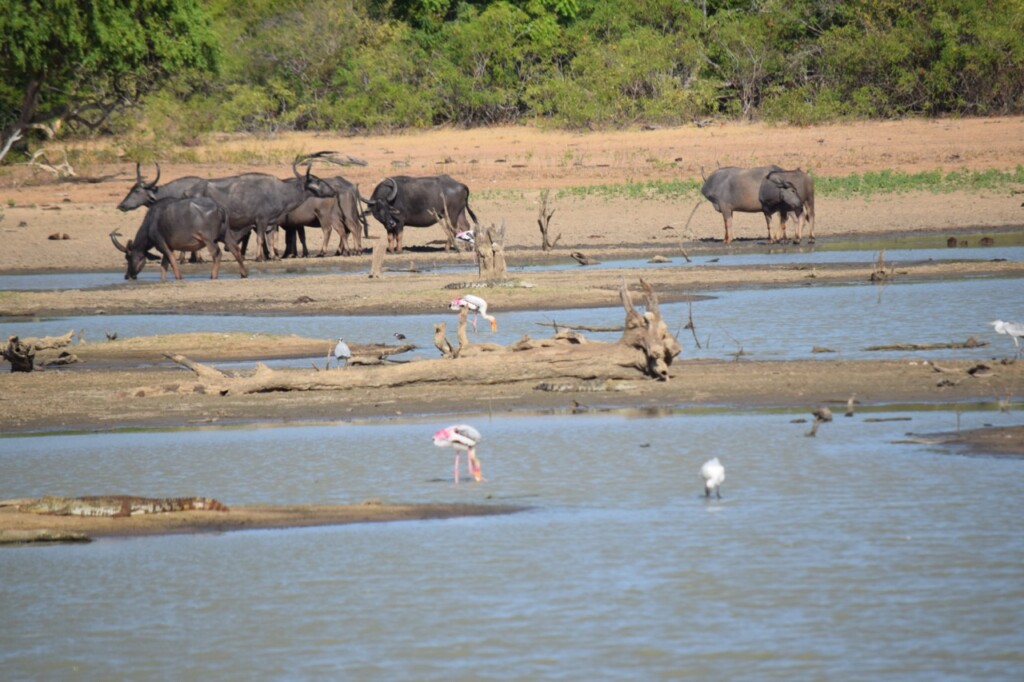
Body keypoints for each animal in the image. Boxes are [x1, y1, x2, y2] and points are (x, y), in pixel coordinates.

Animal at [110, 195, 247, 280]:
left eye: (129, 257)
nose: (127, 276)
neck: (151, 222)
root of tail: (219, 208)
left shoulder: (161, 244)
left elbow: (171, 259)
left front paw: (179, 277)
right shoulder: (167, 246)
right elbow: (163, 265)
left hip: (209, 240)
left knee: (216, 253)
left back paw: (213, 276)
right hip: (226, 235)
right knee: (235, 249)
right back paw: (244, 273)